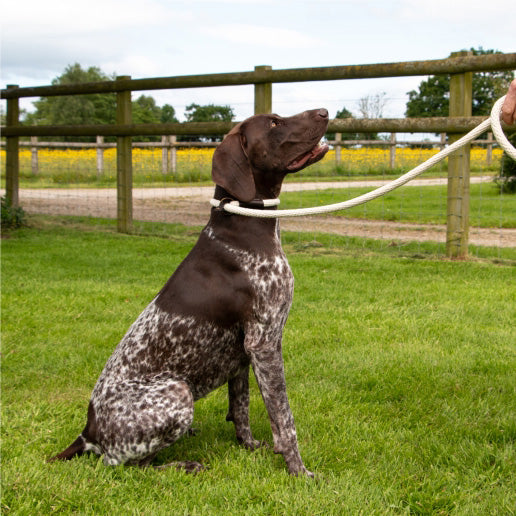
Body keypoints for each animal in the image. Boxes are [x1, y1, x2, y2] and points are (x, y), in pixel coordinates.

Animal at [49, 107, 330, 478]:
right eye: (274, 123)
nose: (324, 112)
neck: (243, 223)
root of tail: (88, 432)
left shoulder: (244, 352)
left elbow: (240, 407)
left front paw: (250, 446)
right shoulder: (265, 343)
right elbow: (284, 420)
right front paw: (299, 471)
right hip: (177, 393)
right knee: (127, 465)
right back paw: (184, 464)